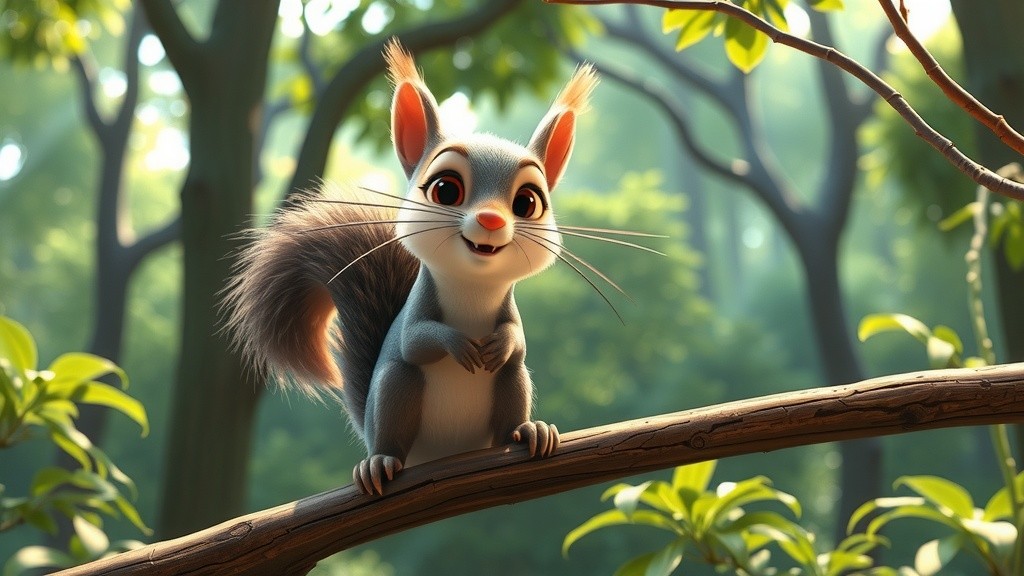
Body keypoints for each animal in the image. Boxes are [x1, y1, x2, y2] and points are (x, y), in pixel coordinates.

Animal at [222, 39, 598, 495]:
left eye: (528, 202)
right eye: (445, 190)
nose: (491, 221)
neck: (472, 287)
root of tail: (445, 454)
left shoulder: (510, 313)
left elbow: (517, 340)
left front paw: (498, 344)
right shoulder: (415, 315)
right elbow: (416, 340)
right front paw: (458, 344)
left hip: (510, 384)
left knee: (511, 379)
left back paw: (528, 431)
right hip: (396, 389)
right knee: (399, 404)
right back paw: (380, 462)